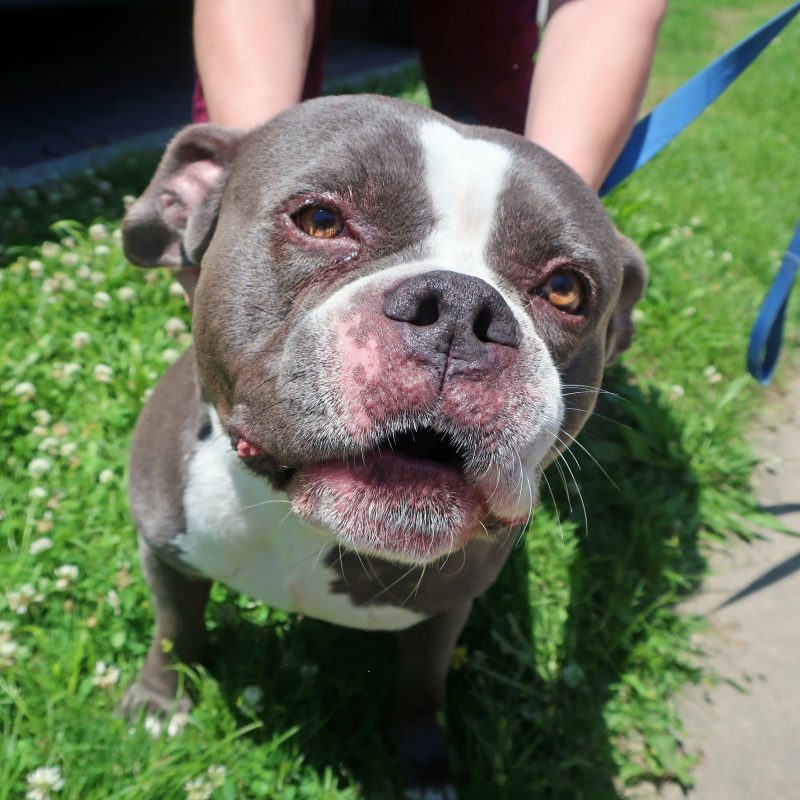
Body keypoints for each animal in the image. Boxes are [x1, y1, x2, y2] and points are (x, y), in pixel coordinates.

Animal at [120, 92, 644, 792]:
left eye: (566, 289)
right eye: (319, 220)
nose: (460, 312)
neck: (297, 519)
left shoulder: (445, 613)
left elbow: (421, 687)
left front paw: (424, 760)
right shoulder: (164, 551)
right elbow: (176, 630)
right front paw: (158, 702)